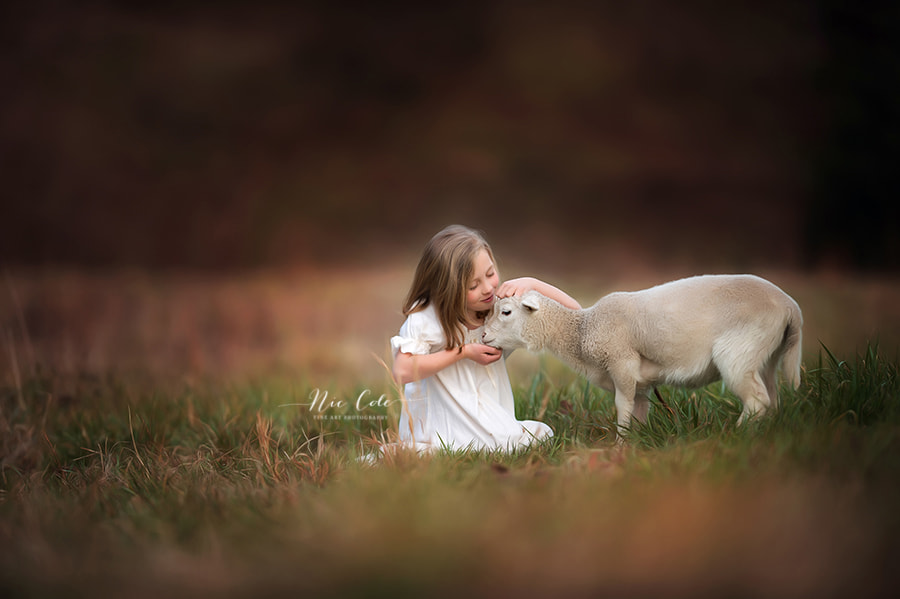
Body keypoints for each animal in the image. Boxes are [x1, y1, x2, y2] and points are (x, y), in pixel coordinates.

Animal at [482, 276, 804, 436]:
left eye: (506, 312)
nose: (483, 336)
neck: (583, 331)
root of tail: (791, 308)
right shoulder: (642, 382)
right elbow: (638, 412)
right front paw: (634, 446)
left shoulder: (622, 364)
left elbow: (621, 407)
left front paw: (619, 446)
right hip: (766, 353)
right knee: (771, 397)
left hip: (738, 352)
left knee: (757, 401)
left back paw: (735, 436)